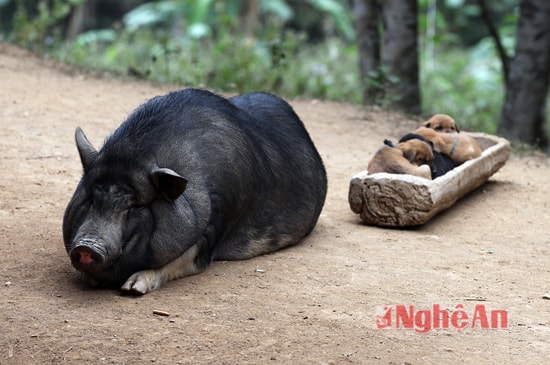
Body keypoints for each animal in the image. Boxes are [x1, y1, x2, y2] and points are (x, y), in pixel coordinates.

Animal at [63, 89, 328, 294]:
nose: (86, 247)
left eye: (134, 205)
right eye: (90, 199)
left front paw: (133, 288)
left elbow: (184, 259)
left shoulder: (218, 222)